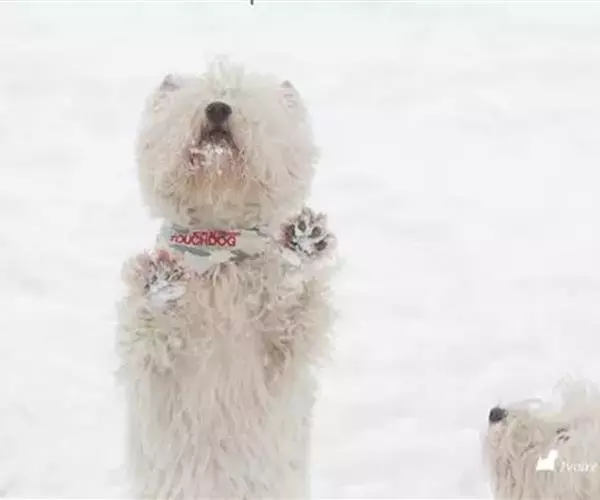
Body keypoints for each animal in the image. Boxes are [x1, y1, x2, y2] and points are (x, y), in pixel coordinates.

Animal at [115, 59, 337, 499]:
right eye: (202, 97)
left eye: (241, 97)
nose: (218, 108)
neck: (218, 247)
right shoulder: (156, 365)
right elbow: (151, 332)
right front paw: (159, 282)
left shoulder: (280, 352)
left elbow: (296, 309)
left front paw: (303, 243)